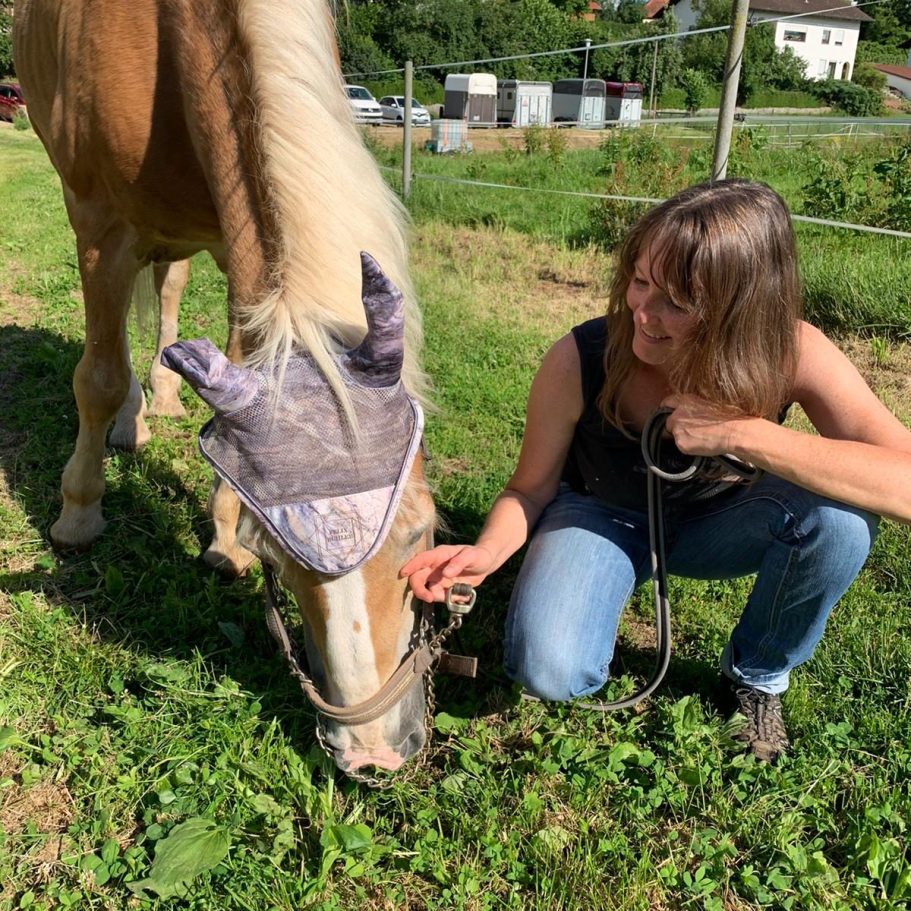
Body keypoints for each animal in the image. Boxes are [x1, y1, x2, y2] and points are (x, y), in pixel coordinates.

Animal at [13, 0, 438, 775]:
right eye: (279, 561)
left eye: (421, 529)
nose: (373, 756)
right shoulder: (99, 226)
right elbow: (97, 375)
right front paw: (78, 514)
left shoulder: (231, 237)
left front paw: (219, 534)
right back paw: (131, 421)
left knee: (168, 290)